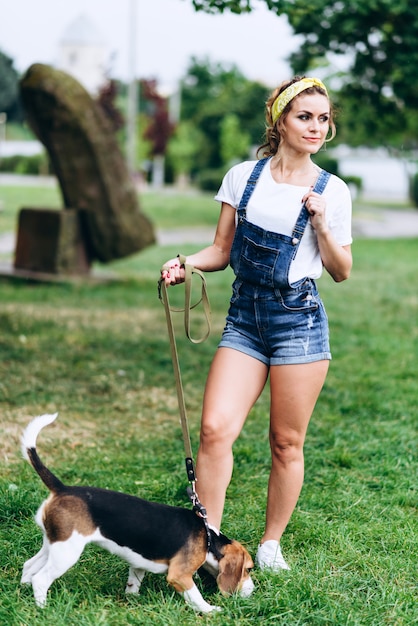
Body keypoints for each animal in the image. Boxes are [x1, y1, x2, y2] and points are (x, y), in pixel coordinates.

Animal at [20, 412, 255, 612]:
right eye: (249, 569)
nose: (253, 591)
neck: (207, 536)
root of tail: (62, 488)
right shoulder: (179, 576)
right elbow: (195, 596)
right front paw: (210, 610)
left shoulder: (138, 565)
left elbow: (134, 582)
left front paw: (132, 600)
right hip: (66, 551)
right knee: (40, 579)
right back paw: (44, 609)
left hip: (54, 544)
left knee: (29, 567)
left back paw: (22, 593)